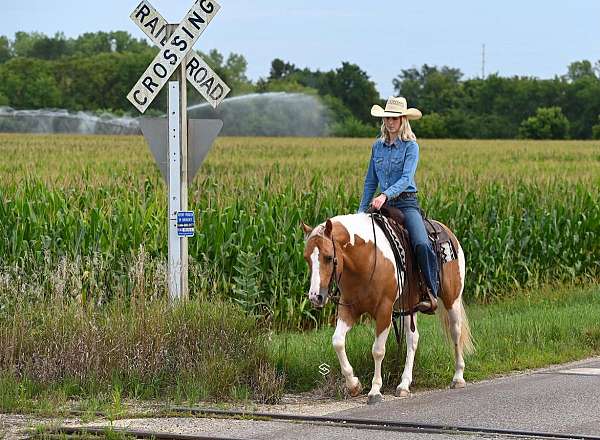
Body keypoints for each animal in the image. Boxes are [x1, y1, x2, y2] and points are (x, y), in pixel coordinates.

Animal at [300, 214, 474, 406]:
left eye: (329, 257)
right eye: (306, 258)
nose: (315, 297)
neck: (366, 257)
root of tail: (448, 232)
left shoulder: (384, 310)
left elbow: (377, 350)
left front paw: (375, 391)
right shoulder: (349, 309)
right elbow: (337, 341)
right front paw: (354, 385)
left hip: (452, 299)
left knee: (455, 333)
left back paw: (458, 377)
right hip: (409, 307)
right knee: (413, 339)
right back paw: (404, 385)